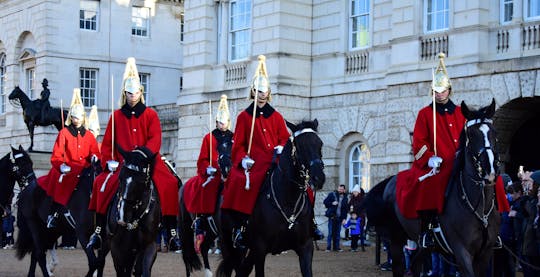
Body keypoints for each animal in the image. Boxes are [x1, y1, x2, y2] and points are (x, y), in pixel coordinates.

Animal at [11, 146, 102, 274]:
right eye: (21, 165)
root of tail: (26, 189)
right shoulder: (82, 233)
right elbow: (94, 262)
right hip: (34, 225)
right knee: (39, 254)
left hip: (54, 229)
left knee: (37, 253)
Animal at [107, 146, 161, 274]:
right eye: (120, 177)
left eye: (141, 181)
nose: (122, 216)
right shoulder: (116, 248)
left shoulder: (149, 245)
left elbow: (144, 270)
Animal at [180, 130, 233, 274]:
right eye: (218, 149)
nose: (227, 169)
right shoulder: (224, 236)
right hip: (185, 227)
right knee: (187, 257)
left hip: (210, 230)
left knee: (203, 248)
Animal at [215, 118, 324, 276]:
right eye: (300, 146)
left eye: (320, 144)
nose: (318, 178)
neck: (289, 201)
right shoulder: (260, 249)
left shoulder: (306, 247)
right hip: (229, 246)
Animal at [364, 100, 500, 274]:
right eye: (471, 135)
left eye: (494, 133)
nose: (490, 171)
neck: (480, 208)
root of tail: (391, 180)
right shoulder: (462, 252)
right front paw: (435, 161)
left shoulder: (484, 254)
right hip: (396, 239)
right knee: (399, 266)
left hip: (419, 244)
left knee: (415, 265)